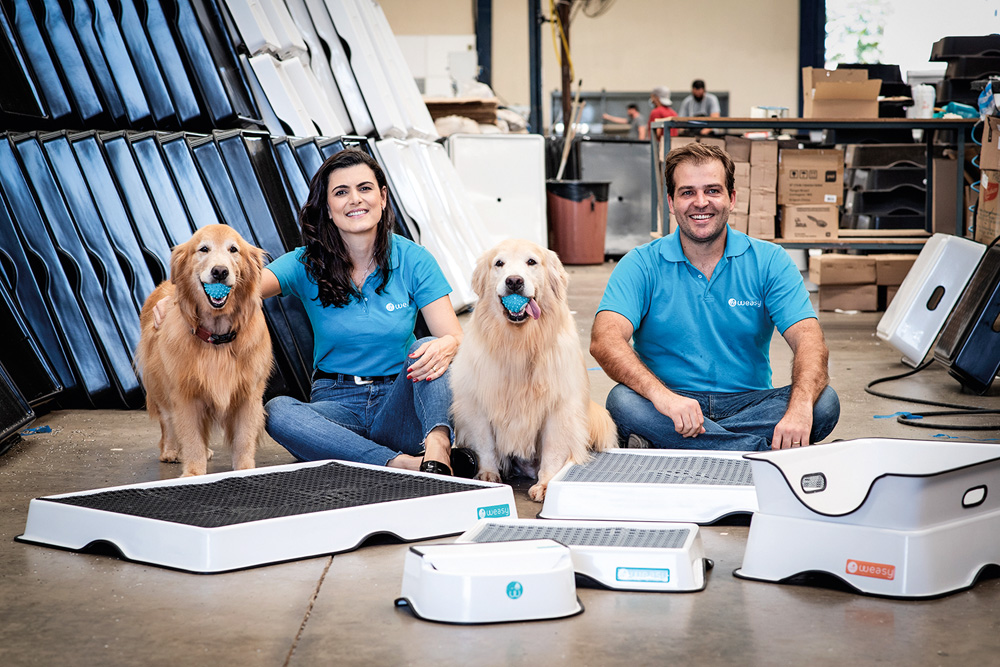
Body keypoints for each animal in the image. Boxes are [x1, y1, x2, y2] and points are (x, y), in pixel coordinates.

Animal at [452, 240, 616, 500]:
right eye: (499, 263)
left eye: (531, 262)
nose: (514, 281)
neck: (518, 343)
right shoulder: (477, 402)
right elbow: (485, 443)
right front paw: (488, 474)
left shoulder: (558, 407)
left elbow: (553, 449)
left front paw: (547, 484)